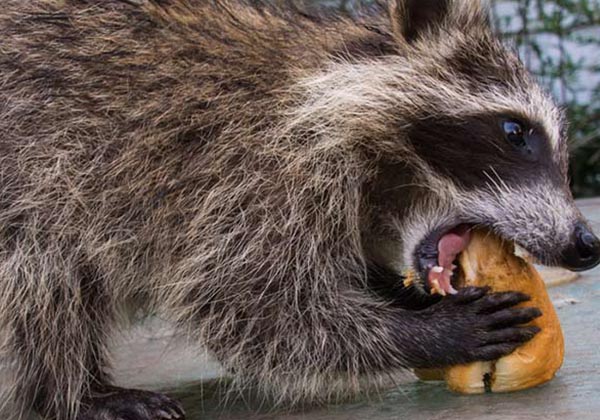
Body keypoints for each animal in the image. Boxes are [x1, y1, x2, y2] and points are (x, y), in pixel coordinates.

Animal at [1, 0, 600, 418]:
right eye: (515, 132)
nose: (586, 244)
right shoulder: (254, 168)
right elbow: (252, 302)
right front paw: (428, 332)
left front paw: (401, 299)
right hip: (31, 166)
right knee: (37, 264)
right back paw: (73, 391)